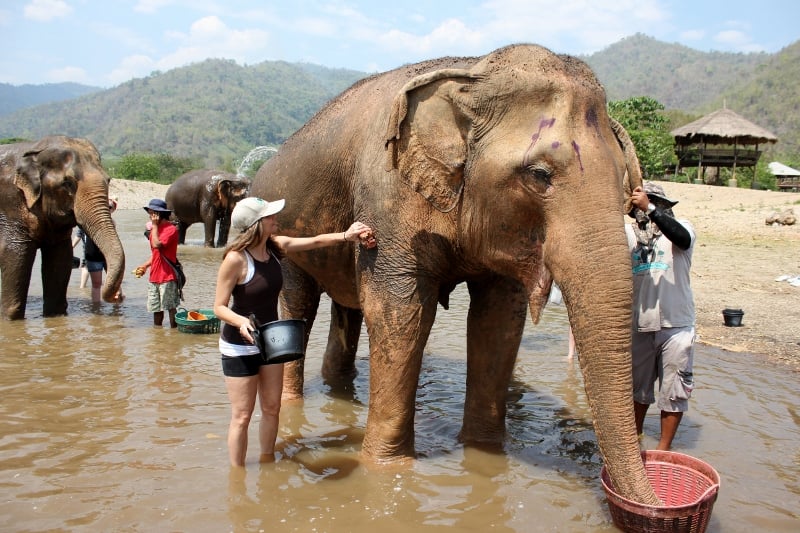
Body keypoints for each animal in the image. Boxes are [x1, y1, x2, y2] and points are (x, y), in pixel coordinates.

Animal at [0, 135, 125, 319]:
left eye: (108, 180)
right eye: (68, 183)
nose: (118, 296)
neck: (33, 148)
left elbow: (61, 257)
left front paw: (55, 316)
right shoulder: (10, 204)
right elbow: (15, 253)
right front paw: (10, 319)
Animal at [251, 44, 660, 505]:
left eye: (625, 182)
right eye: (539, 175)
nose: (639, 503)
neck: (473, 72)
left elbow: (497, 321)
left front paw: (484, 453)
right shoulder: (389, 197)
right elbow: (402, 313)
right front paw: (387, 471)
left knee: (347, 307)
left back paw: (339, 388)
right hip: (285, 231)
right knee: (299, 303)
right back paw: (294, 403)